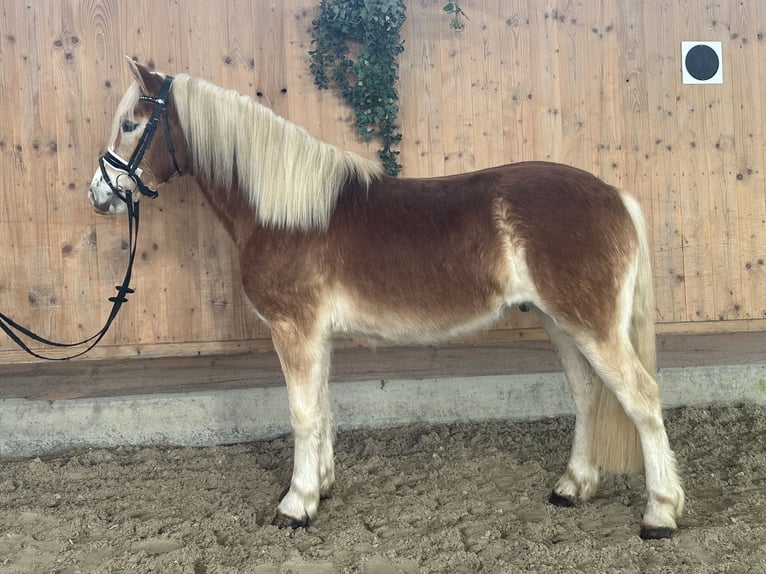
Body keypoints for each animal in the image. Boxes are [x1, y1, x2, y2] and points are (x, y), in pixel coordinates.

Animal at [88, 59, 684, 540]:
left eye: (131, 124)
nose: (99, 194)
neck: (285, 210)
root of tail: (614, 196)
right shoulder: (315, 335)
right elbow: (323, 409)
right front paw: (321, 487)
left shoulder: (294, 330)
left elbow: (301, 414)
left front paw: (295, 506)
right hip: (559, 322)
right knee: (587, 395)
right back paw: (572, 486)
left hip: (591, 326)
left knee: (641, 399)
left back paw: (660, 513)